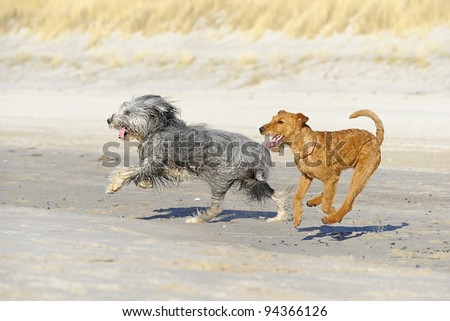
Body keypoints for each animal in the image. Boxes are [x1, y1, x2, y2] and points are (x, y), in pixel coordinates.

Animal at [106, 94, 288, 221]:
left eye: (127, 112)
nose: (108, 119)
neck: (158, 128)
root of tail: (259, 152)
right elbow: (139, 175)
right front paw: (145, 183)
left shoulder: (153, 160)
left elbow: (128, 171)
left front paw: (114, 186)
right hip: (251, 181)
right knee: (276, 193)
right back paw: (280, 216)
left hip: (219, 178)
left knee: (217, 207)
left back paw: (197, 219)